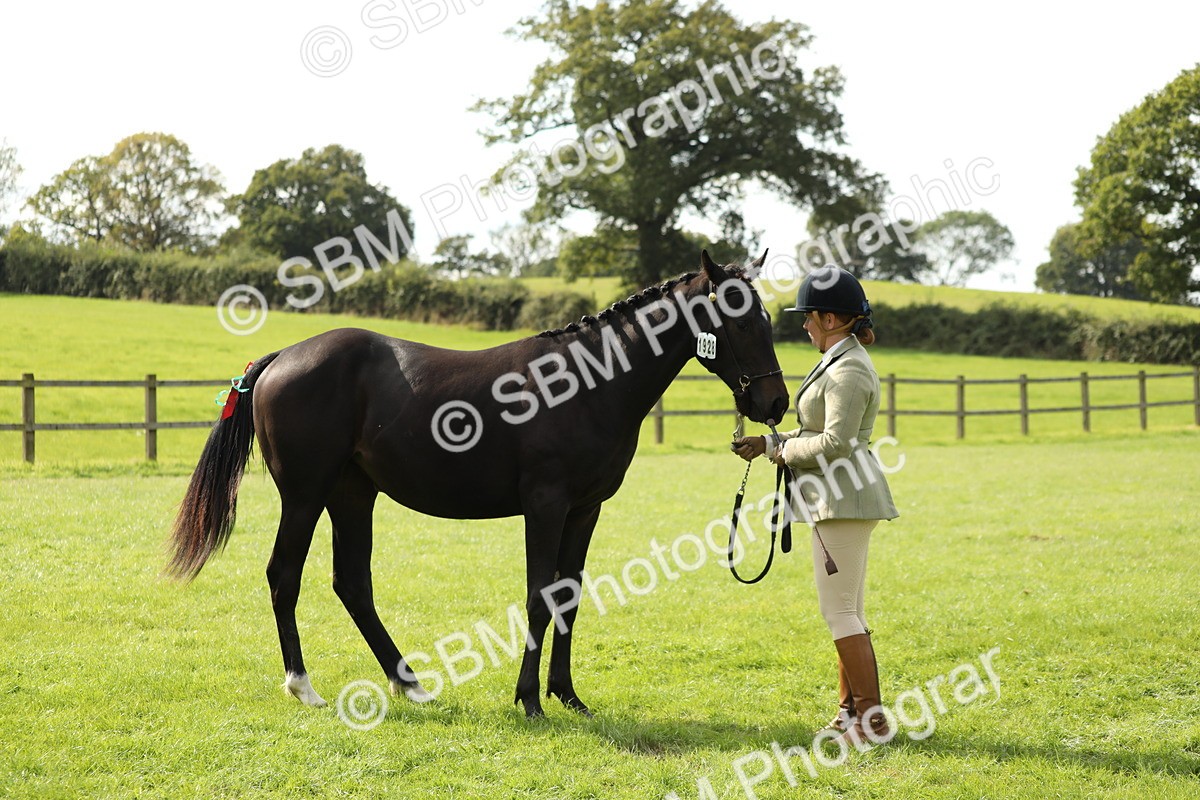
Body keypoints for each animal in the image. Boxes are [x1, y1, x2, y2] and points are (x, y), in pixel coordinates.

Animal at [169, 250, 789, 718]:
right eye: (738, 319)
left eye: (766, 318)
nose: (775, 403)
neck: (586, 384)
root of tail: (280, 358)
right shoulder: (545, 506)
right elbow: (541, 597)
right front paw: (530, 702)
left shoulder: (585, 510)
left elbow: (570, 597)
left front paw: (567, 696)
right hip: (304, 496)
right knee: (284, 576)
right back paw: (304, 686)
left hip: (352, 495)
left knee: (353, 584)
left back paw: (409, 683)